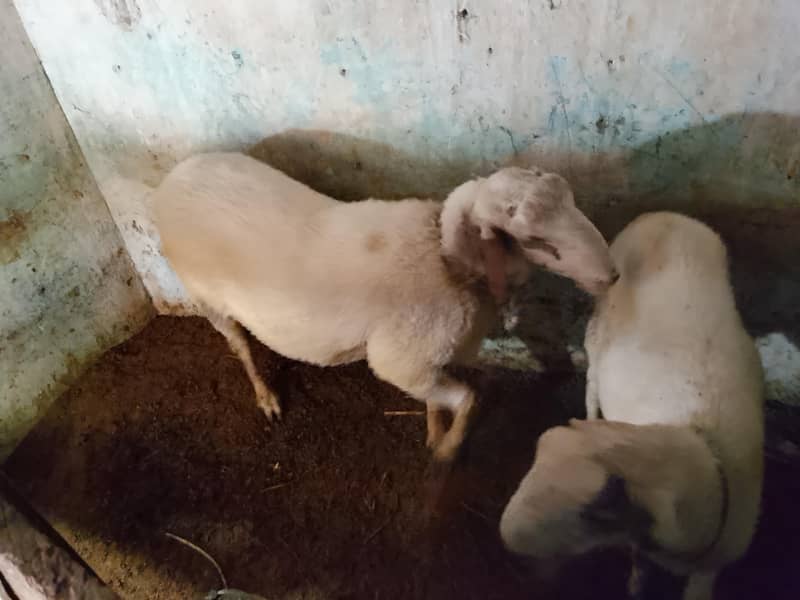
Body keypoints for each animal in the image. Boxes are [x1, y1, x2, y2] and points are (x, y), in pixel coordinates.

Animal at [152, 152, 615, 461]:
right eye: (535, 239)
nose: (611, 275)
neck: (444, 260)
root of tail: (177, 175)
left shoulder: (427, 361)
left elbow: (438, 400)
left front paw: (434, 430)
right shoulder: (399, 363)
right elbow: (469, 399)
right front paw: (446, 452)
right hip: (205, 296)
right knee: (240, 346)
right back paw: (266, 396)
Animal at [499, 212, 764, 599]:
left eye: (600, 510)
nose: (506, 538)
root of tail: (663, 216)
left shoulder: (711, 563)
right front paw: (637, 583)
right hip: (597, 330)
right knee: (592, 382)